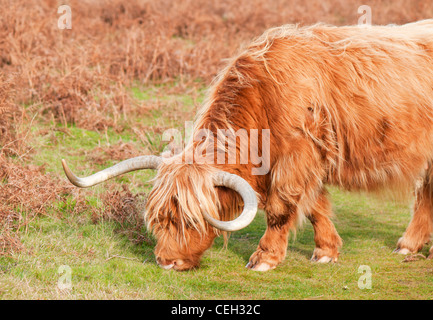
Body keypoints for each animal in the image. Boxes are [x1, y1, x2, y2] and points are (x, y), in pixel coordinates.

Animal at [61, 19, 433, 270]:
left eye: (190, 221)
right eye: (159, 218)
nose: (166, 262)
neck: (264, 98)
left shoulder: (297, 157)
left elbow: (282, 208)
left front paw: (265, 258)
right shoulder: (304, 162)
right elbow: (316, 206)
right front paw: (326, 251)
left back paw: (407, 244)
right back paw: (410, 246)